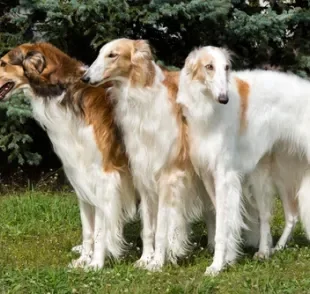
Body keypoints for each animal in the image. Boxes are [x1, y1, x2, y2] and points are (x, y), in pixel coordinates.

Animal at [177, 46, 310, 276]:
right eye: (209, 66)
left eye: (227, 67)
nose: (224, 98)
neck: (209, 108)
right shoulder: (209, 177)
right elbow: (227, 221)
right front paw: (229, 259)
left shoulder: (224, 175)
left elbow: (223, 226)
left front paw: (216, 265)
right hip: (277, 174)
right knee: (286, 215)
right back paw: (271, 249)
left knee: (269, 216)